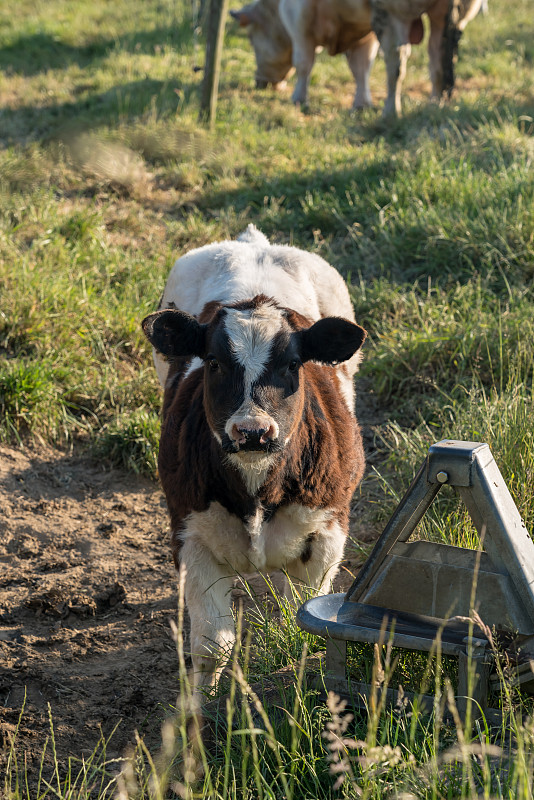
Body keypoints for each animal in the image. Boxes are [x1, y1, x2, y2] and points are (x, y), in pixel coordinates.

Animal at [142, 225, 368, 692]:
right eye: (212, 362)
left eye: (294, 364)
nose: (252, 431)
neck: (257, 492)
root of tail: (254, 243)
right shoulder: (190, 537)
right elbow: (211, 646)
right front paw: (199, 703)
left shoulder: (326, 536)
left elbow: (303, 620)